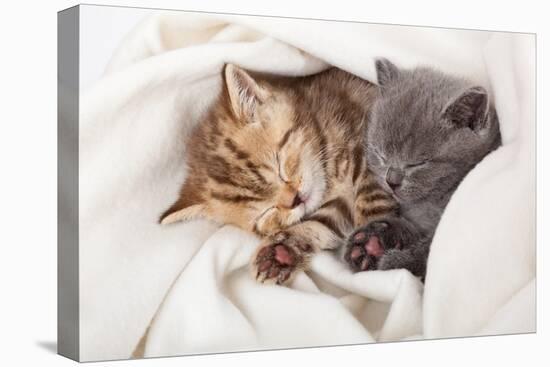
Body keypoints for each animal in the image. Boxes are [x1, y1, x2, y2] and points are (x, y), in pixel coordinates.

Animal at [162, 64, 398, 286]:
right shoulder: (337, 202)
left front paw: (374, 240)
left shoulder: (374, 148)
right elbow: (323, 220)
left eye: (280, 166)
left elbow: (374, 197)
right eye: (265, 212)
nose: (295, 199)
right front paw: (281, 252)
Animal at [344, 59, 504, 280]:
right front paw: (372, 243)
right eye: (380, 154)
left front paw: (396, 260)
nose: (392, 180)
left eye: (418, 163)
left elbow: (431, 252)